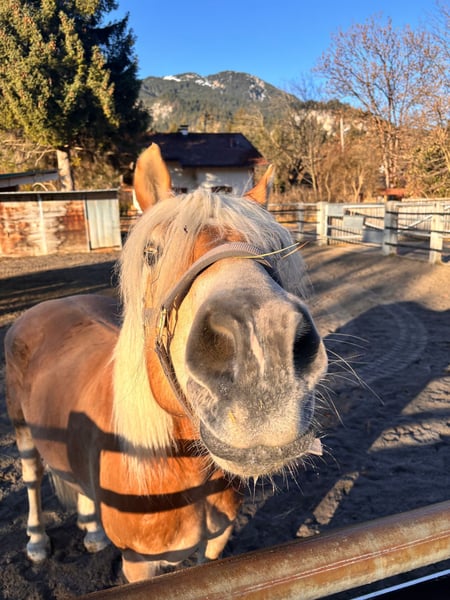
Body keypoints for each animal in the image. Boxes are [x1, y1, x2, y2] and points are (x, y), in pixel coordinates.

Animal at [4, 143, 328, 582]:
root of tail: (46, 308)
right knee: (33, 479)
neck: (174, 470)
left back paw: (93, 532)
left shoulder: (217, 543)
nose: (263, 358)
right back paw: (37, 542)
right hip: (22, 431)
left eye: (272, 253)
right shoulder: (139, 564)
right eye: (151, 253)